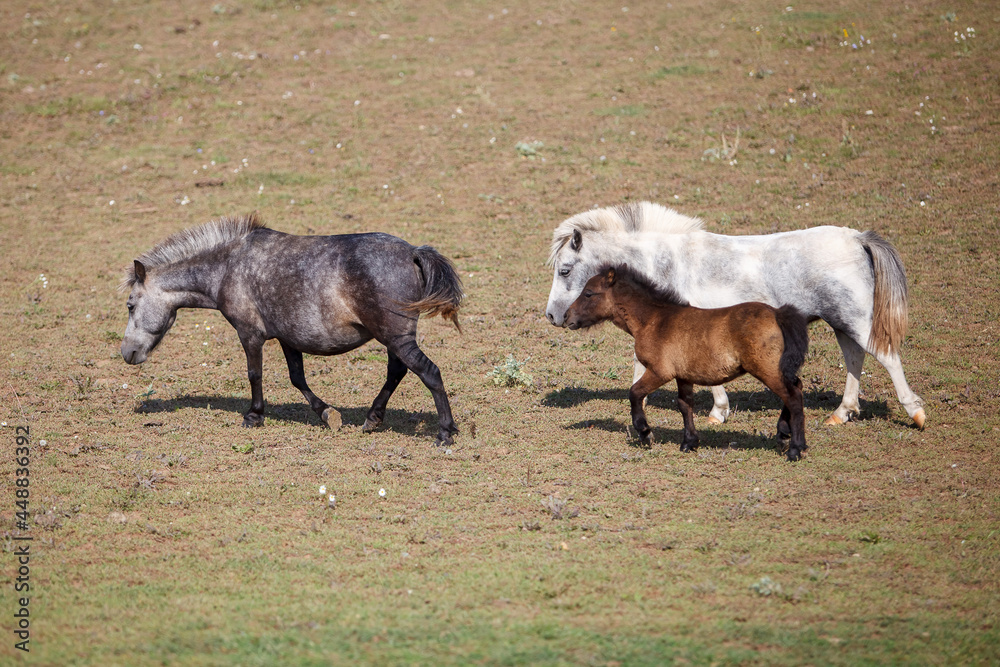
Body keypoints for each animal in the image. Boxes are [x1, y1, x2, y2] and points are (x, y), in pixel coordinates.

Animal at [120, 213, 463, 445]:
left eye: (130, 305)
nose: (127, 353)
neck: (228, 267)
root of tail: (413, 252)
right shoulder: (288, 338)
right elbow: (297, 378)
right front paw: (328, 414)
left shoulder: (250, 334)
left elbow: (254, 375)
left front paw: (254, 416)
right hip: (393, 339)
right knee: (397, 372)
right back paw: (372, 419)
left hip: (396, 337)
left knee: (429, 373)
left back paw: (445, 433)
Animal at [546, 201, 925, 429]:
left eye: (565, 270)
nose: (552, 316)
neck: (668, 262)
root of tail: (857, 238)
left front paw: (716, 413)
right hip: (843, 324)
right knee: (855, 358)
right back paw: (841, 413)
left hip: (855, 321)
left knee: (887, 357)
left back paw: (915, 412)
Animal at [564, 265, 810, 461]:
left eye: (588, 293)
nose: (566, 317)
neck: (654, 320)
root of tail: (777, 313)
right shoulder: (683, 376)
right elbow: (685, 405)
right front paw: (689, 443)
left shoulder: (660, 372)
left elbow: (634, 393)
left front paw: (645, 433)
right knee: (796, 387)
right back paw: (783, 434)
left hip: (765, 368)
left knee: (793, 397)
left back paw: (795, 449)